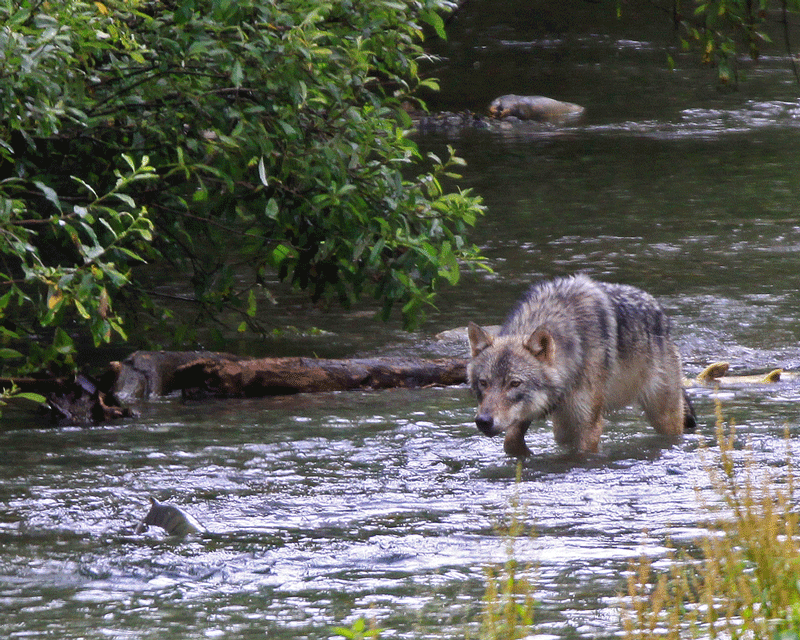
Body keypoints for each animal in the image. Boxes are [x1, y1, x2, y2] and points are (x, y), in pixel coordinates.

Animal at [467, 274, 696, 457]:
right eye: (483, 383)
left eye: (514, 383)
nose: (483, 421)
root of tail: (662, 316)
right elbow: (510, 442)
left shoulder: (588, 425)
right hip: (562, 427)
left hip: (664, 417)